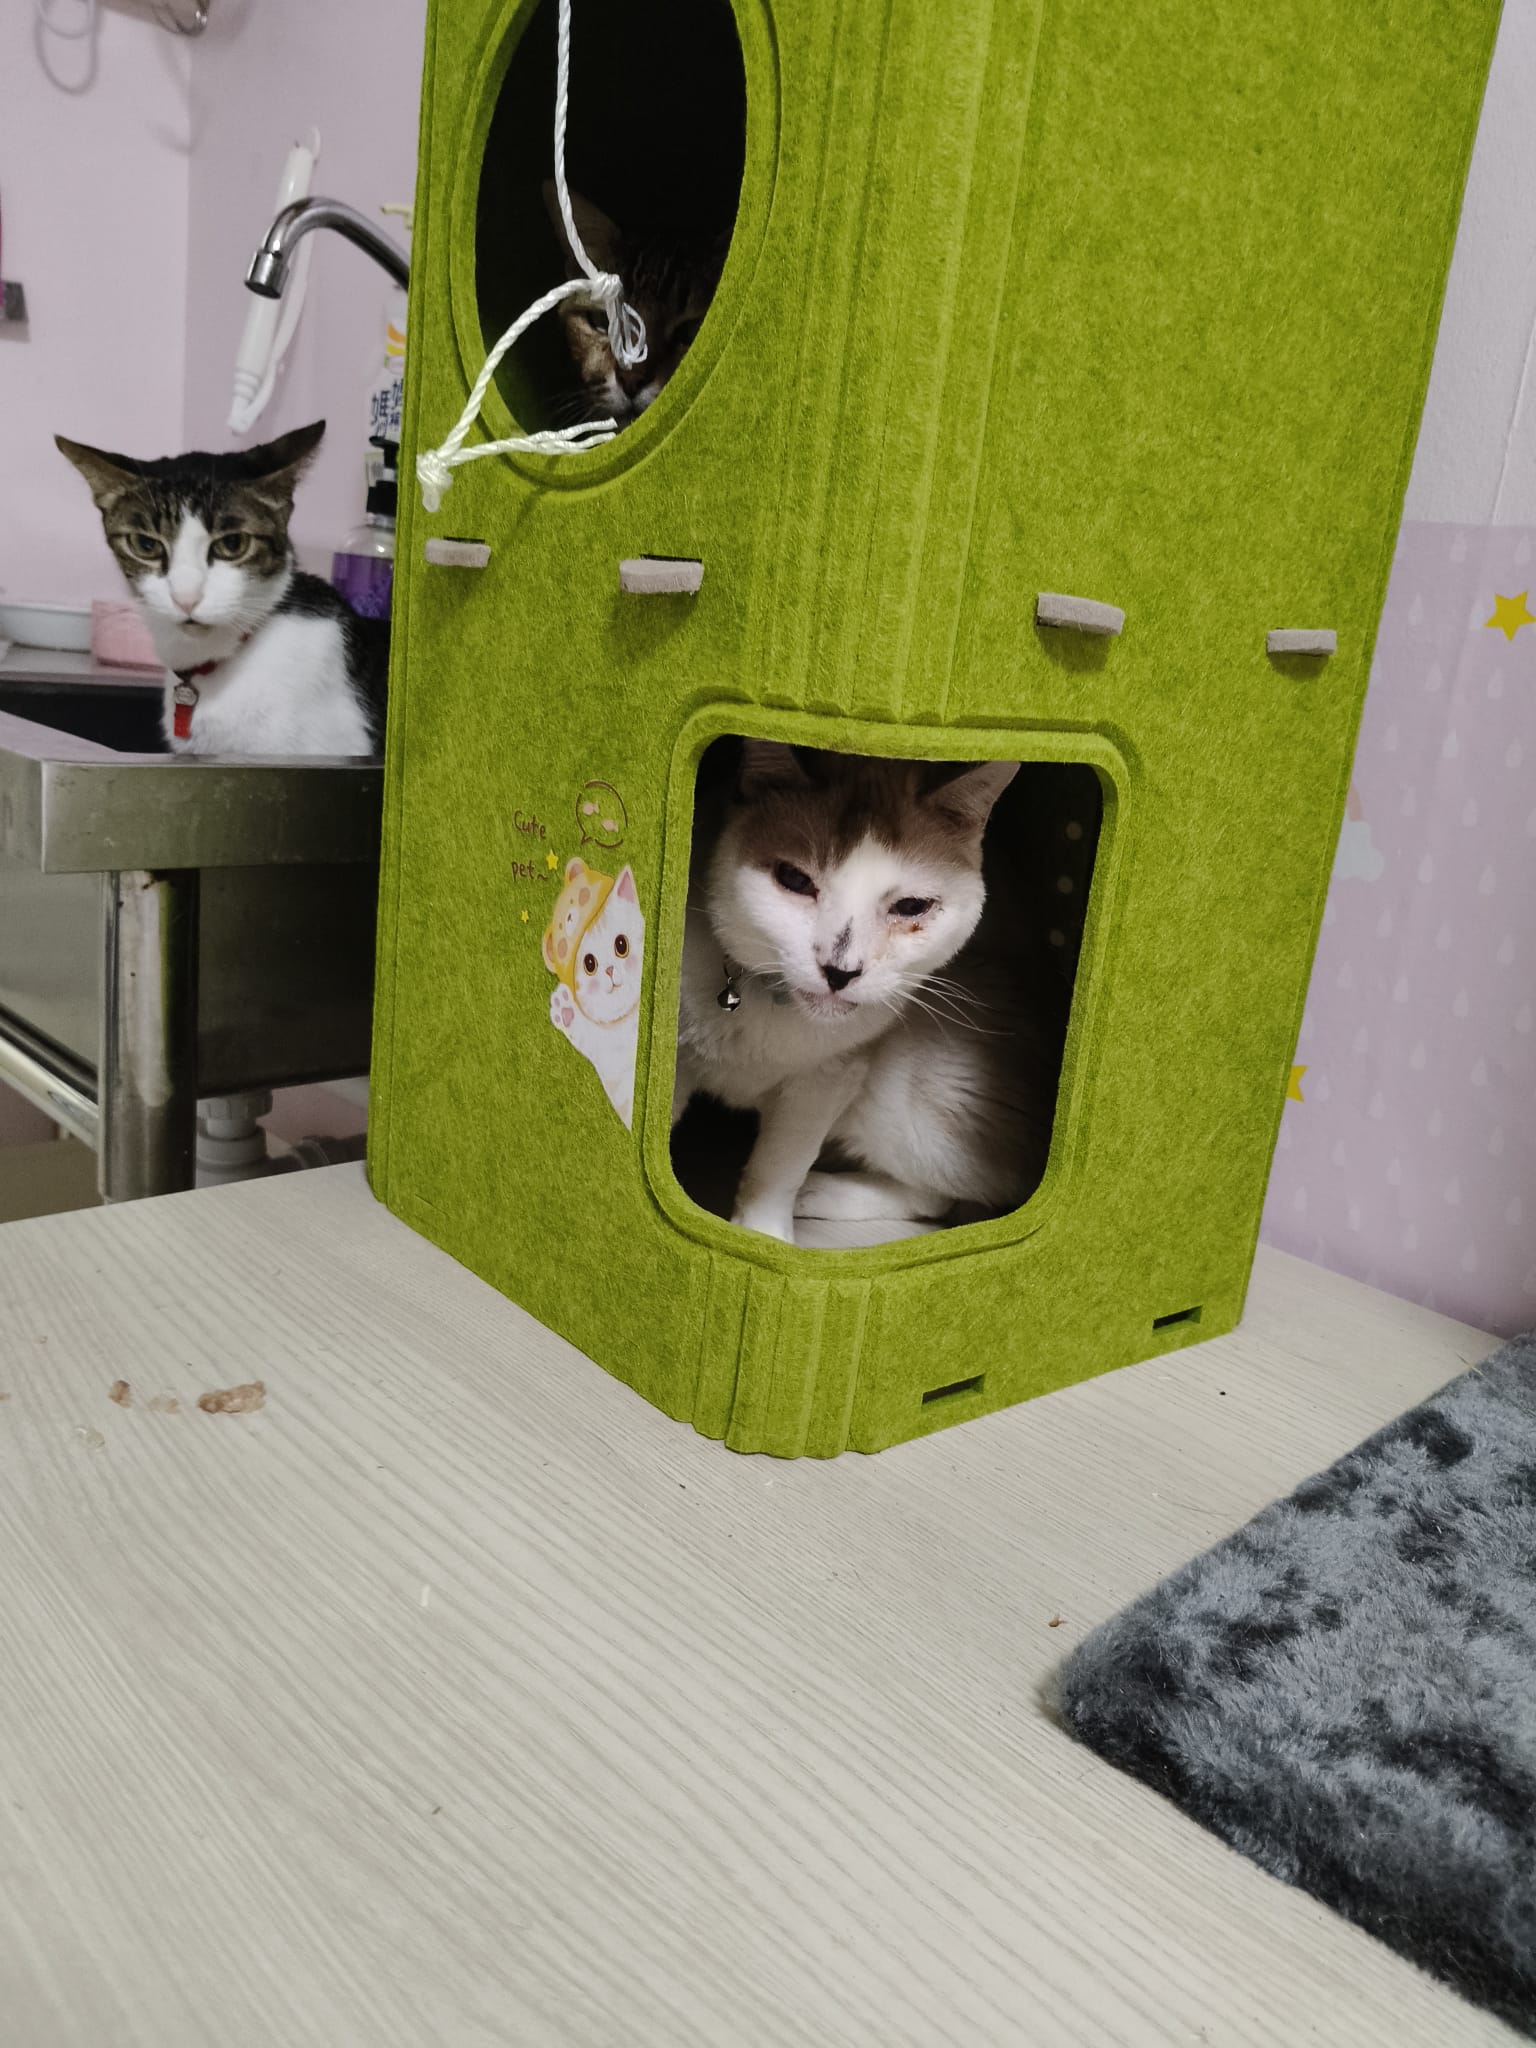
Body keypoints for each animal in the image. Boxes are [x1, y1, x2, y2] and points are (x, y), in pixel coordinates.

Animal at [546, 858, 645, 1128]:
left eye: (621, 944)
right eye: (589, 964)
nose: (610, 970)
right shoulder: (610, 1062)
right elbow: (590, 1035)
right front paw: (565, 1009)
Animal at [674, 743, 1056, 1244]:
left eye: (912, 907)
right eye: (794, 879)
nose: (840, 971)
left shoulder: (829, 1076)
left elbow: (778, 1166)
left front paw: (764, 1237)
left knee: (940, 1195)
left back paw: (820, 1192)